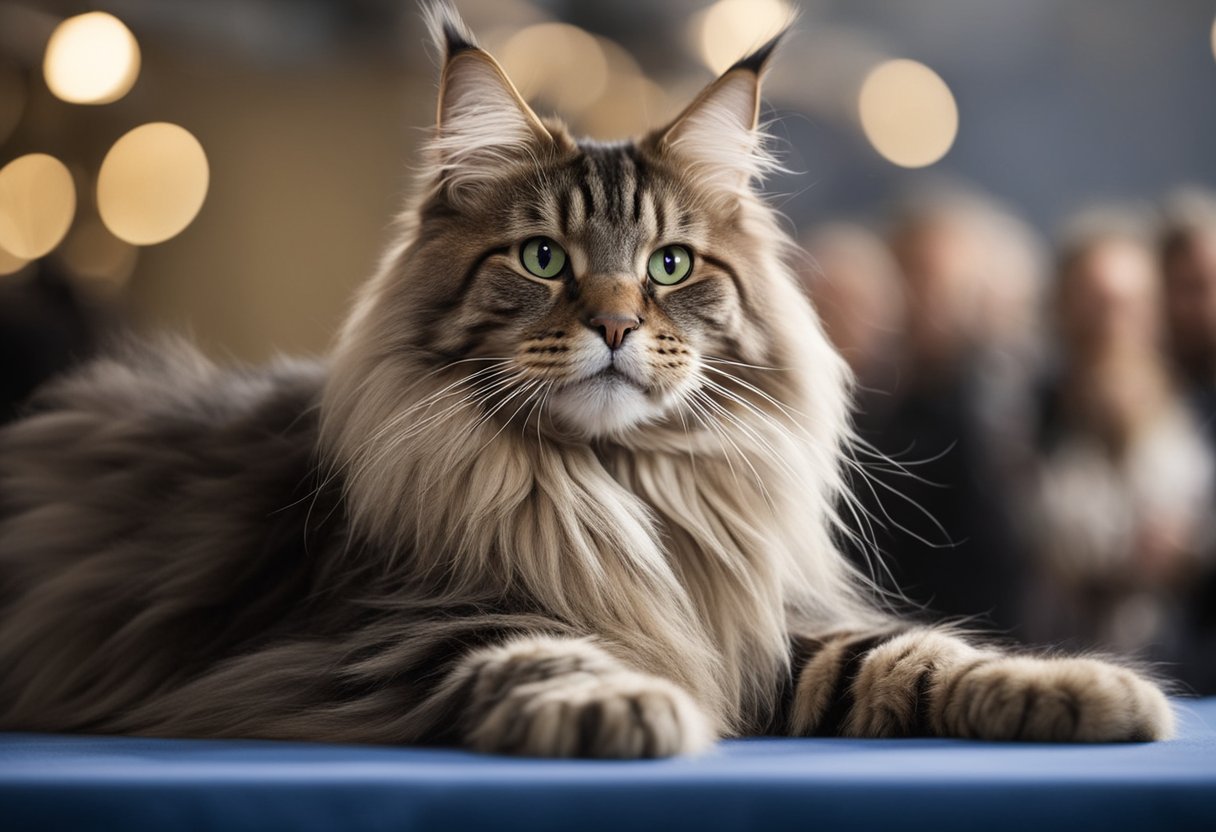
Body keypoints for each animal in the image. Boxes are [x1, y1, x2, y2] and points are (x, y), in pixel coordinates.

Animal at [0, 3, 1172, 759]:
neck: (613, 489)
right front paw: (631, 710)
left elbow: (914, 655)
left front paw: (1092, 688)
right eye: (543, 259)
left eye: (670, 266)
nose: (613, 323)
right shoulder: (398, 620)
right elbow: (544, 650)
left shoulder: (746, 623)